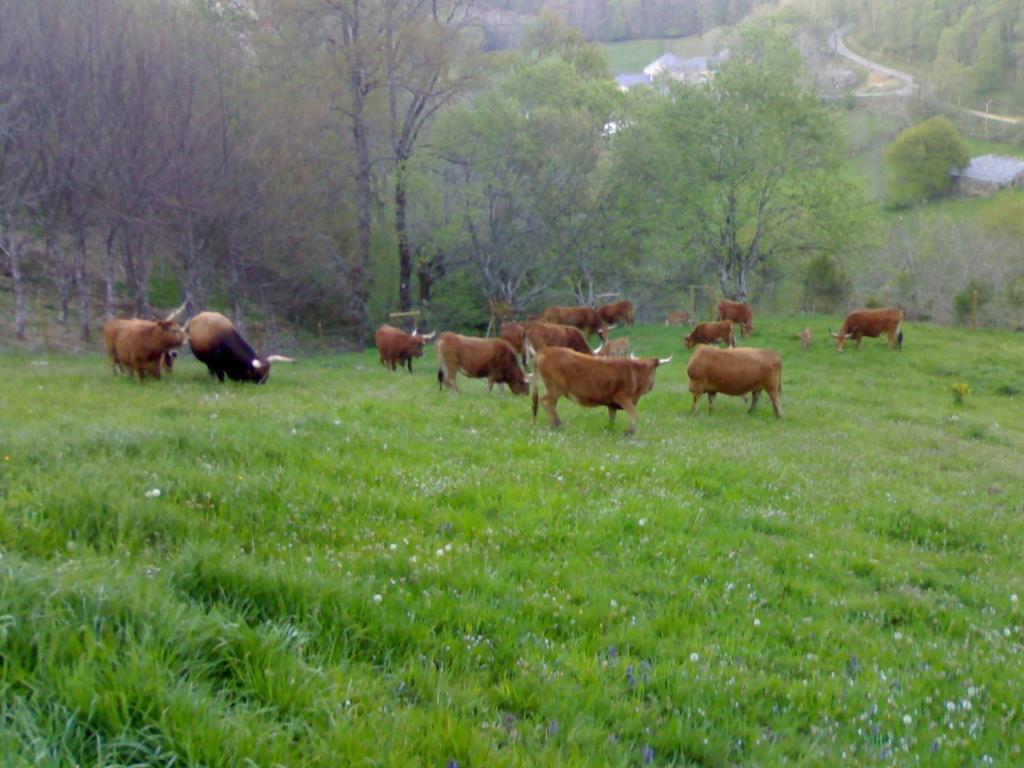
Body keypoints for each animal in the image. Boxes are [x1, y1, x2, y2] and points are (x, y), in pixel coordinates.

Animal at [528, 346, 671, 436]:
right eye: (655, 370)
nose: (651, 386)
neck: (634, 371)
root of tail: (545, 350)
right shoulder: (623, 398)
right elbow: (634, 414)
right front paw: (629, 431)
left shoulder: (612, 404)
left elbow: (612, 417)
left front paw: (611, 430)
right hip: (555, 389)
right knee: (546, 401)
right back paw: (557, 424)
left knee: (551, 404)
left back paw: (556, 423)